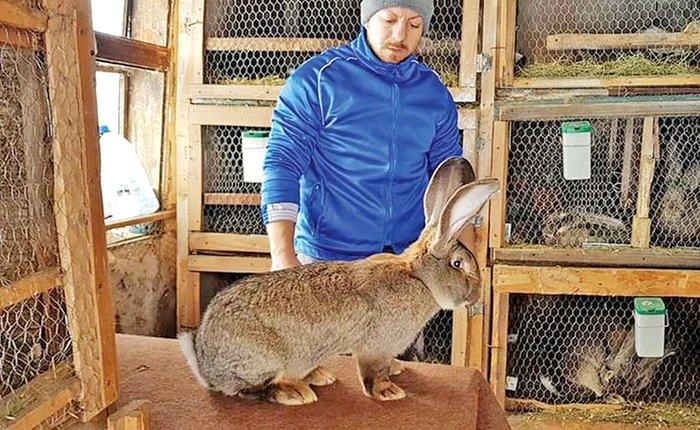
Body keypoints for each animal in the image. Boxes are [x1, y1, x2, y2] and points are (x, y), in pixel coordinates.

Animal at [178, 156, 500, 404]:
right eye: (458, 264)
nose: (477, 293)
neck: (418, 277)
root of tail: (205, 364)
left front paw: (396, 370)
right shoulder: (376, 347)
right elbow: (373, 373)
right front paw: (388, 392)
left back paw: (316, 376)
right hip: (264, 359)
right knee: (248, 389)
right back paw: (293, 393)